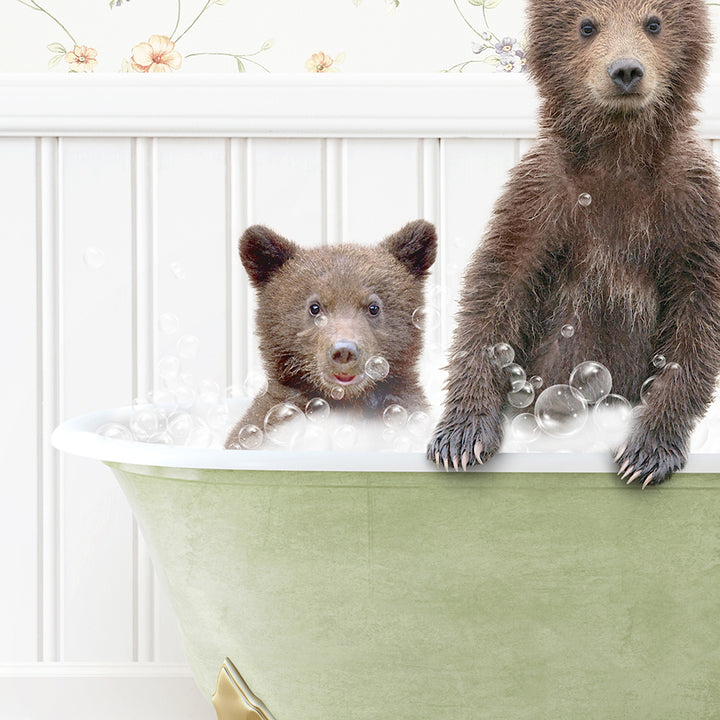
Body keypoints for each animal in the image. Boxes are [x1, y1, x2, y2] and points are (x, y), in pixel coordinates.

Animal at [428, 0, 720, 486]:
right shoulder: (542, 196)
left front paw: (646, 451)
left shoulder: (691, 207)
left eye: (653, 23)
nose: (626, 70)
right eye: (587, 25)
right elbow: (497, 289)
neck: (618, 156)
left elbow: (697, 318)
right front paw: (461, 435)